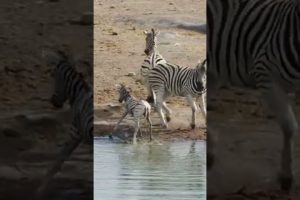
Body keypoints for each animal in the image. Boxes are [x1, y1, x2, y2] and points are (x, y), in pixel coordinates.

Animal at [35, 50, 92, 198]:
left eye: (53, 77)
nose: (53, 102)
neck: (78, 95)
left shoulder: (75, 132)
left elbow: (59, 159)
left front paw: (40, 189)